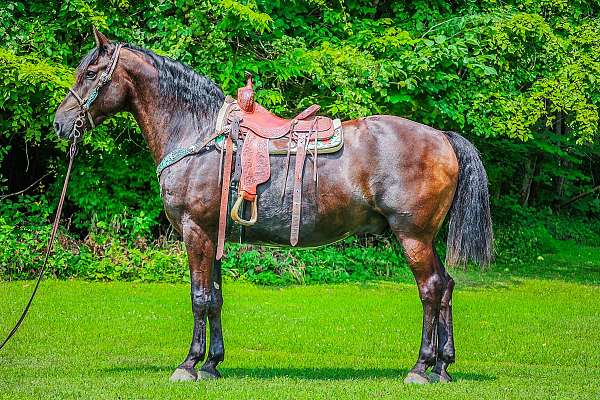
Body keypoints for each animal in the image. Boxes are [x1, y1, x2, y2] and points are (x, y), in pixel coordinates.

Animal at [52, 28, 492, 384]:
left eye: (90, 74)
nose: (60, 123)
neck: (195, 133)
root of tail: (443, 137)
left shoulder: (195, 232)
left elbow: (199, 297)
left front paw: (189, 365)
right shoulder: (212, 235)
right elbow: (215, 297)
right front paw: (212, 364)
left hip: (412, 235)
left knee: (431, 289)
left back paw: (420, 367)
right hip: (425, 237)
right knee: (446, 286)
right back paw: (442, 366)